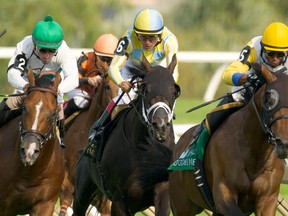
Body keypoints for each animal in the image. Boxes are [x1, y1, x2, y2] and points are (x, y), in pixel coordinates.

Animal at [72, 54, 180, 215]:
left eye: (174, 93)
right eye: (145, 90)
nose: (160, 125)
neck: (144, 150)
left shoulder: (162, 190)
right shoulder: (119, 199)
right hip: (83, 191)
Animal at [169, 63, 288, 215]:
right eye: (269, 99)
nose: (283, 143)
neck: (254, 151)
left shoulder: (268, 199)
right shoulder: (223, 195)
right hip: (182, 205)